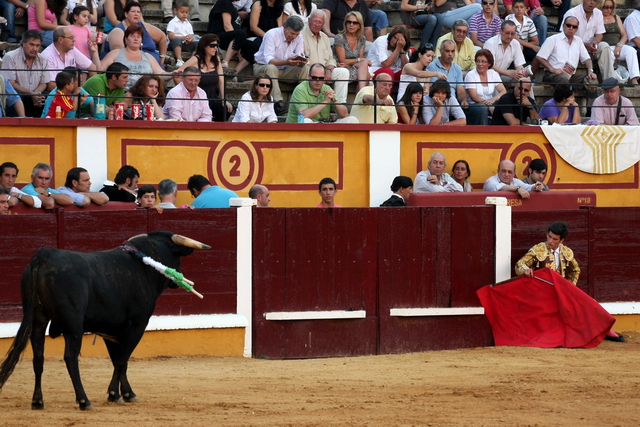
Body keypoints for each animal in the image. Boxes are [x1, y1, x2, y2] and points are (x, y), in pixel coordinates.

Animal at [0, 232, 210, 410]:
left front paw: (127, 394)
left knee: (38, 357)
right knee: (70, 358)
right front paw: (114, 394)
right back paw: (84, 401)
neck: (145, 263)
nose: (178, 279)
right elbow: (122, 359)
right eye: (177, 258)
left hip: (38, 320)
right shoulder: (137, 326)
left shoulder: (111, 331)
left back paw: (37, 401)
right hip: (73, 327)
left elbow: (119, 360)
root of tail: (43, 256)